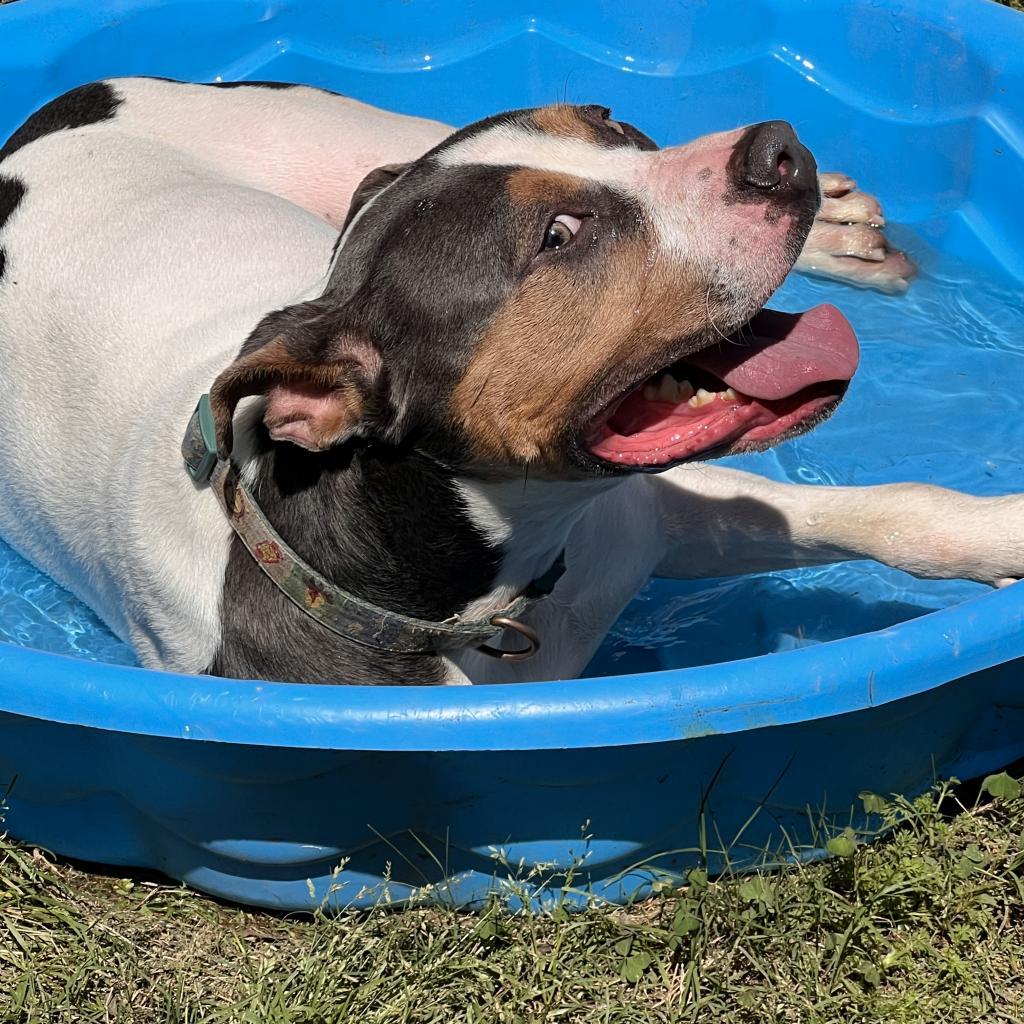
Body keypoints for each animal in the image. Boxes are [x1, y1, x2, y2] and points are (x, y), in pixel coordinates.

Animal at [0, 79, 1015, 684]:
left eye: (611, 123)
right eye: (558, 236)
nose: (777, 150)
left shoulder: (653, 510)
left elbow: (891, 511)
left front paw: (1001, 535)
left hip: (359, 140)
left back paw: (842, 231)